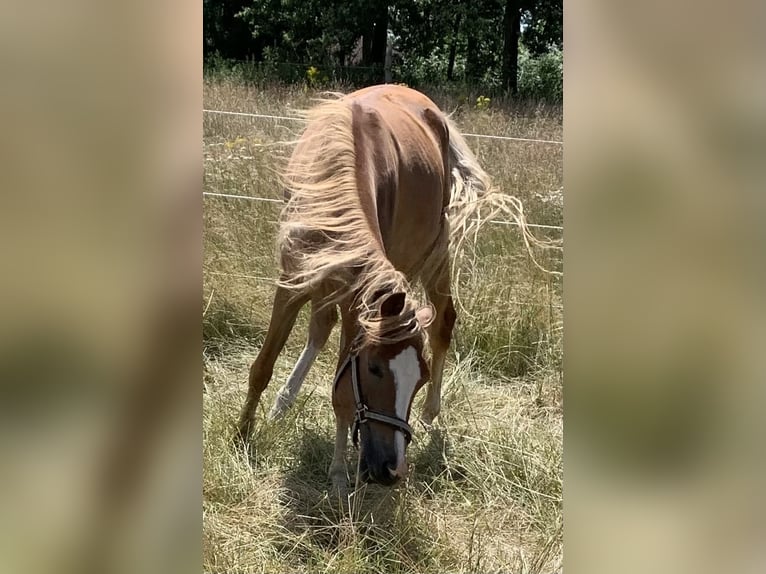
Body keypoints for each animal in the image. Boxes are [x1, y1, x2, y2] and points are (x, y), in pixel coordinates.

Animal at [236, 84, 528, 490]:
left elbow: (341, 389)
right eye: (374, 369)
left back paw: (431, 411)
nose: (392, 469)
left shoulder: (358, 304)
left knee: (443, 323)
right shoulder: (296, 280)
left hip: (431, 255)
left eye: (419, 378)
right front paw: (242, 434)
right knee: (321, 327)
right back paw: (283, 402)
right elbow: (263, 365)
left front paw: (338, 471)